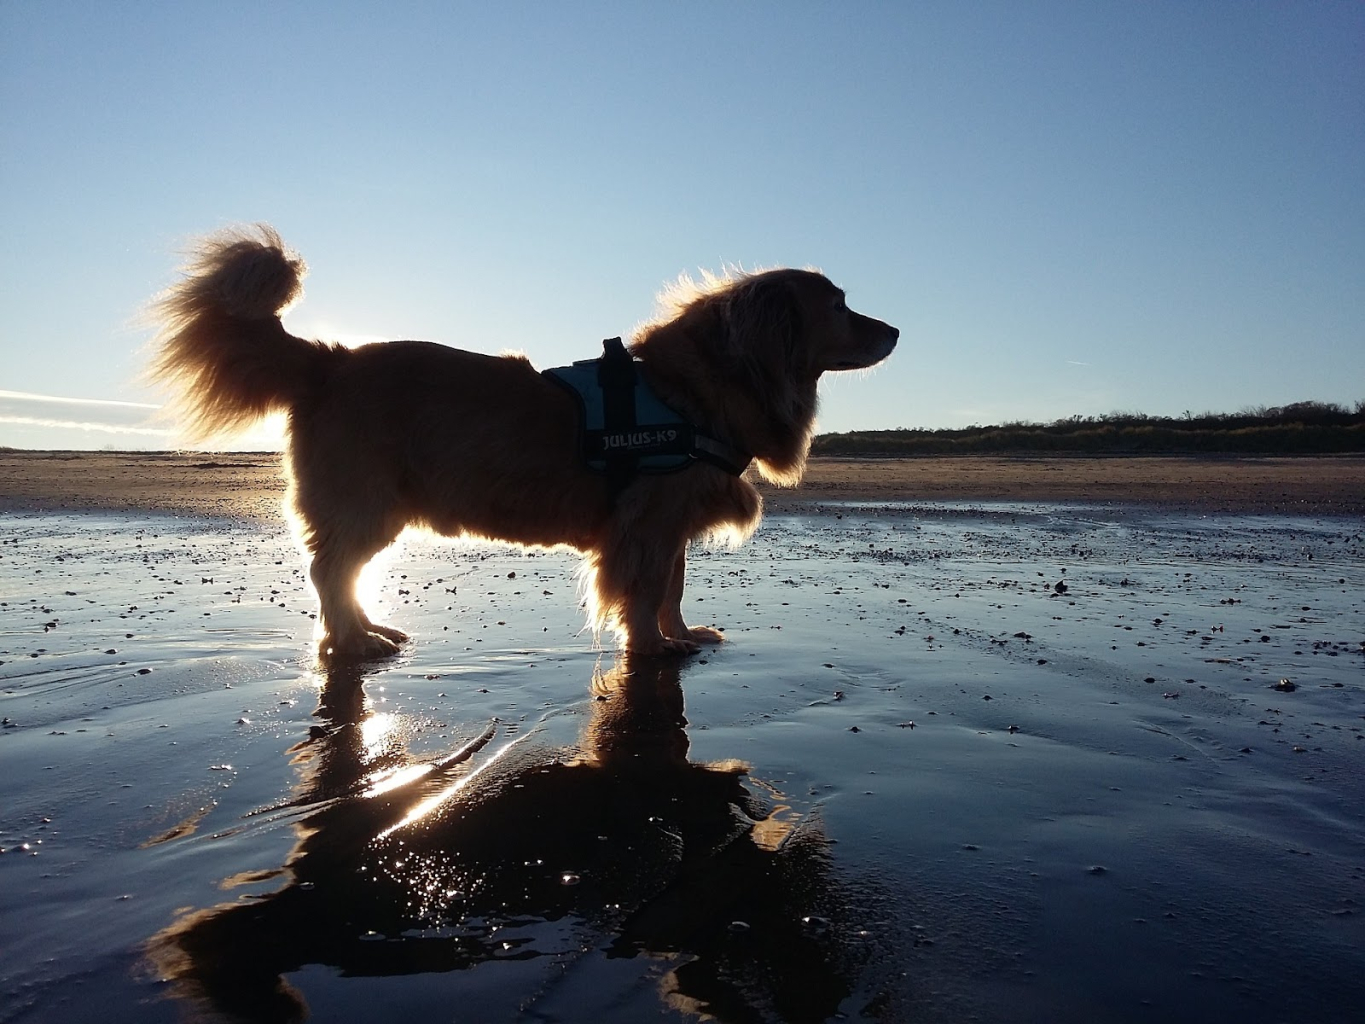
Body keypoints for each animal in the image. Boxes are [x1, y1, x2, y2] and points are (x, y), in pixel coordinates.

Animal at [149, 225, 895, 660]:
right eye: (837, 306)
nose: (894, 330)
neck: (698, 386)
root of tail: (327, 359)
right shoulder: (646, 522)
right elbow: (647, 590)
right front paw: (654, 646)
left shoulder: (671, 520)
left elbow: (674, 586)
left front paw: (682, 633)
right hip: (368, 505)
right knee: (330, 572)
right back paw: (355, 640)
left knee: (338, 573)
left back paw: (365, 631)